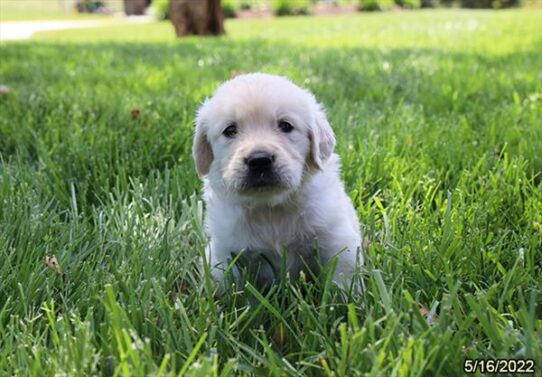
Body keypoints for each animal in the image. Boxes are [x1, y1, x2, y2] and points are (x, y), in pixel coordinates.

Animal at [193, 73, 364, 290]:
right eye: (230, 130)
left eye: (286, 126)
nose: (259, 160)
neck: (270, 209)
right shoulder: (223, 250)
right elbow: (224, 282)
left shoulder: (336, 239)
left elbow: (343, 279)